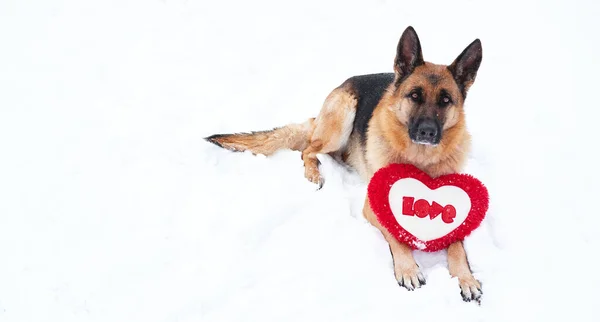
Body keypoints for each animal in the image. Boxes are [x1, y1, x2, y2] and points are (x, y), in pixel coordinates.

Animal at [206, 27, 482, 302]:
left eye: (445, 101)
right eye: (415, 96)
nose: (427, 132)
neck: (420, 160)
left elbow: (457, 248)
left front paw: (466, 278)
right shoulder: (375, 207)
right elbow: (397, 237)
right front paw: (408, 269)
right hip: (342, 118)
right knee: (308, 150)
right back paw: (314, 173)